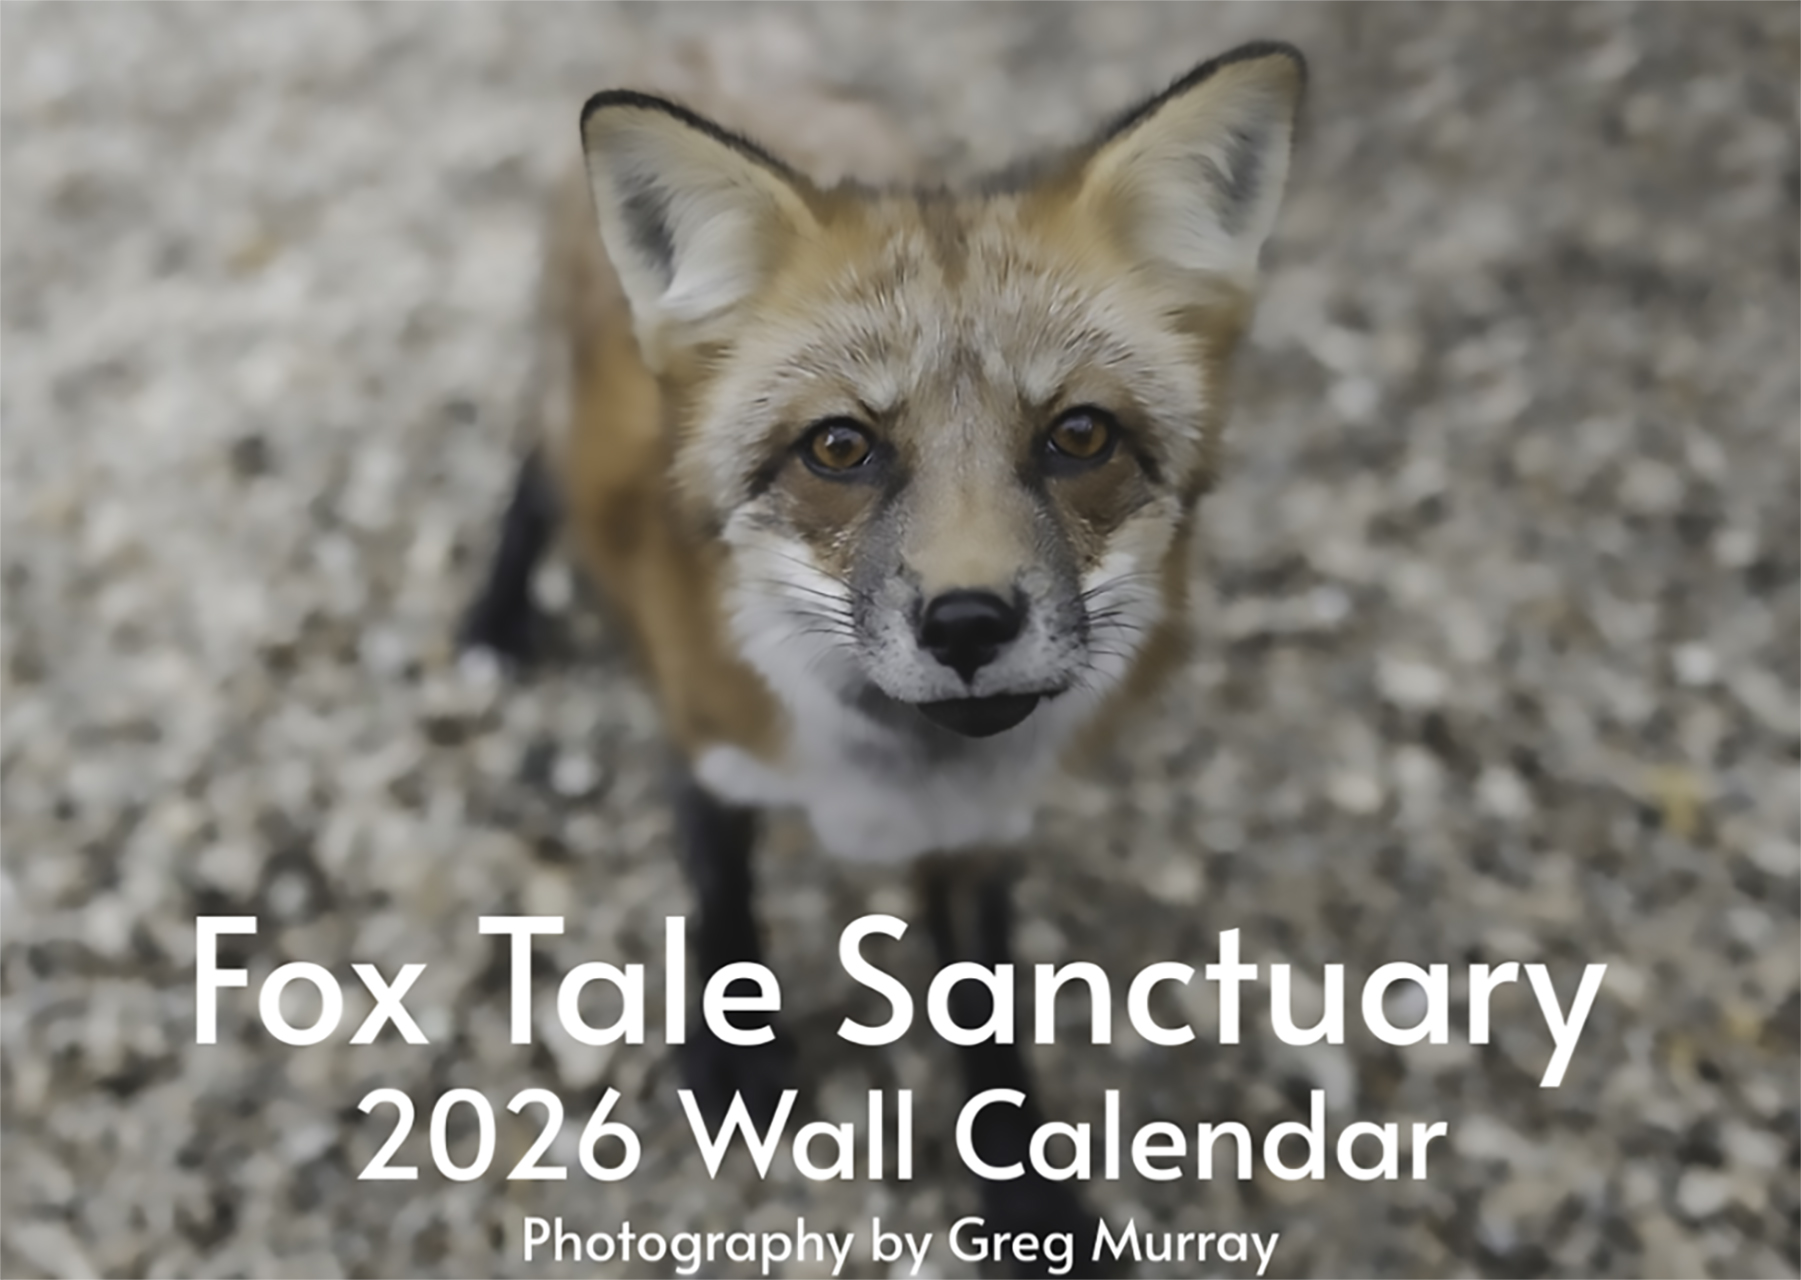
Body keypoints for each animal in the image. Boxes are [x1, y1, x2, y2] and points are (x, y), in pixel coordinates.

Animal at [462, 38, 1305, 1270]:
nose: (967, 623)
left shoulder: (981, 838)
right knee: (532, 474)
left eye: (1080, 435)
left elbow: (987, 1027)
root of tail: (722, 63)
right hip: (566, 423)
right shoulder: (707, 747)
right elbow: (722, 907)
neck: (896, 776)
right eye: (839, 448)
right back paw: (494, 618)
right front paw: (734, 1060)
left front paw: (1027, 1197)